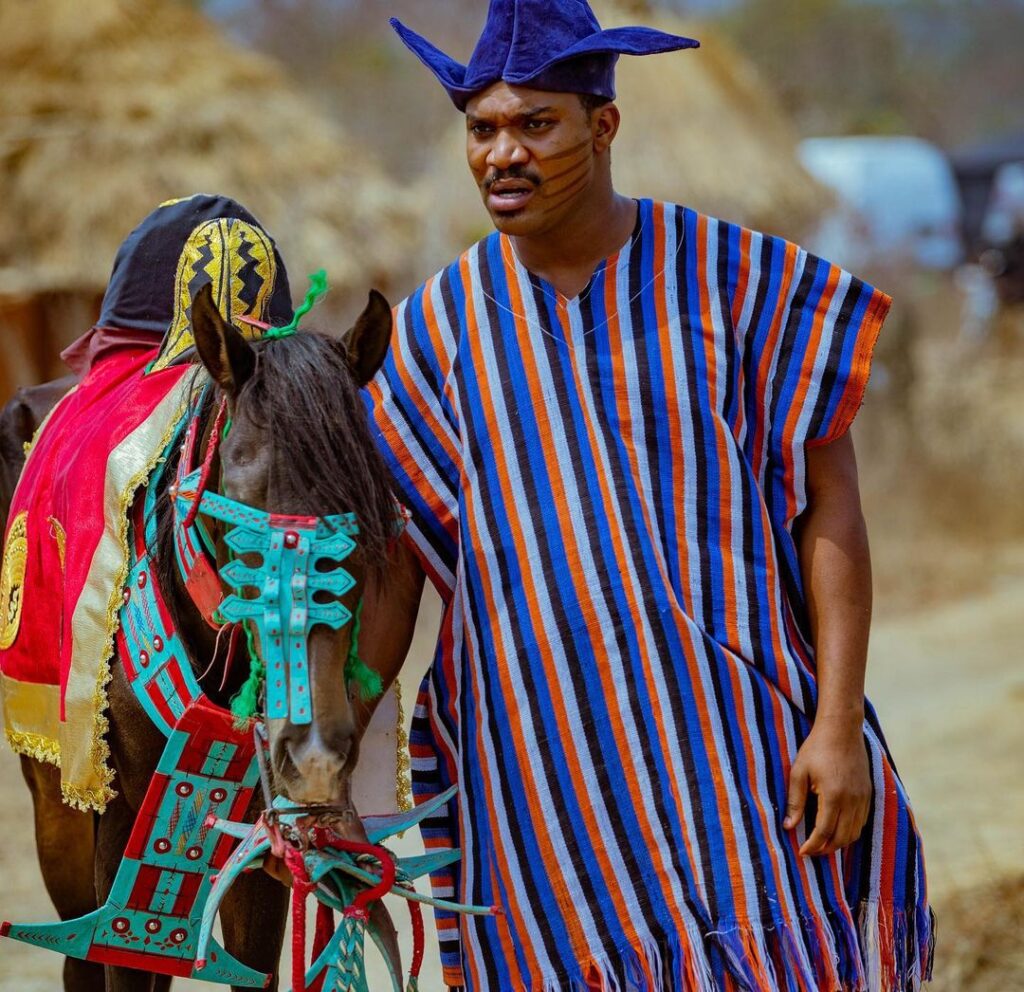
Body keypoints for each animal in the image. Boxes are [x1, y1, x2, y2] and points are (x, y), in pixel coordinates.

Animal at [3, 282, 423, 986]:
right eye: (245, 519)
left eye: (365, 526)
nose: (314, 755)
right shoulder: (118, 823)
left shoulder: (258, 844)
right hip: (56, 806)